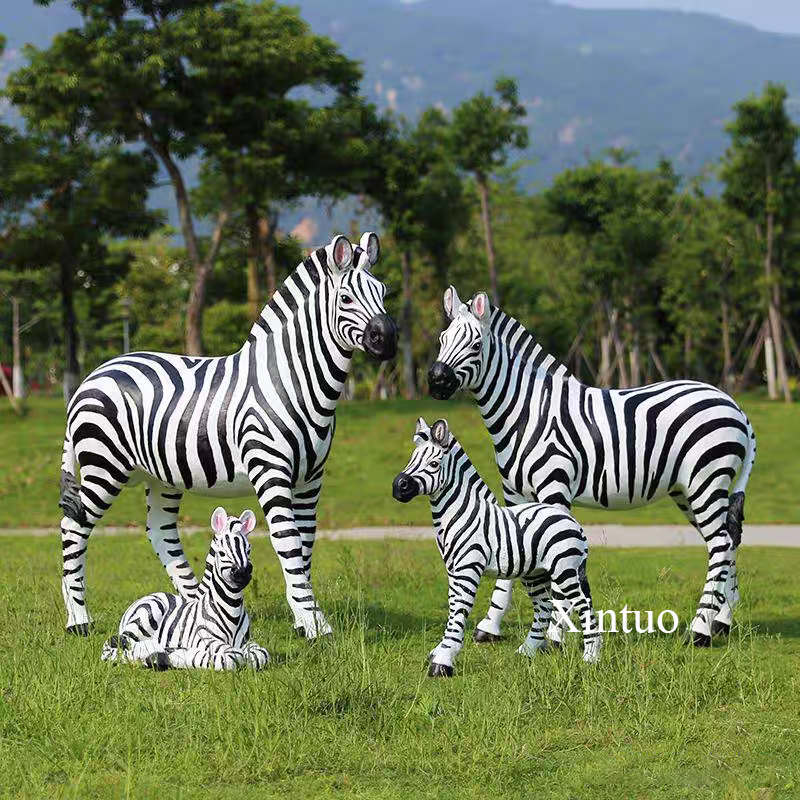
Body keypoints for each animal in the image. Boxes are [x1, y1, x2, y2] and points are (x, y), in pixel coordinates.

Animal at [60, 233, 397, 640]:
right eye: (345, 298)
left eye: (384, 292)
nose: (389, 340)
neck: (291, 381)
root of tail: (93, 375)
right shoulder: (270, 471)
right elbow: (288, 542)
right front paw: (317, 626)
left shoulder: (310, 479)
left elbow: (304, 545)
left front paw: (304, 619)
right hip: (103, 467)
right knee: (74, 527)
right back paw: (79, 620)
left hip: (161, 476)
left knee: (160, 532)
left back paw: (192, 605)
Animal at [102, 507, 270, 670]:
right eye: (221, 552)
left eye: (249, 550)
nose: (242, 573)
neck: (232, 607)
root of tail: (142, 599)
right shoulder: (207, 639)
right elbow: (231, 657)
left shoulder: (247, 642)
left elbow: (261, 655)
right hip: (145, 616)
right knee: (111, 648)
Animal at [392, 417, 601, 676]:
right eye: (412, 459)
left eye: (433, 464)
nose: (397, 486)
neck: (461, 512)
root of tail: (573, 522)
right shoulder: (452, 570)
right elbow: (452, 607)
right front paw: (440, 652)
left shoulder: (468, 568)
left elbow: (460, 609)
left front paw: (443, 661)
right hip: (535, 573)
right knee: (543, 606)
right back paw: (527, 651)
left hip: (565, 570)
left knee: (582, 605)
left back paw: (591, 658)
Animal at [427, 286, 756, 647]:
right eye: (442, 339)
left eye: (475, 345)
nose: (436, 379)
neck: (527, 412)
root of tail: (734, 405)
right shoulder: (515, 493)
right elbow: (509, 551)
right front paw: (490, 625)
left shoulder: (553, 488)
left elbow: (555, 554)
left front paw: (553, 635)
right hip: (689, 490)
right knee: (725, 540)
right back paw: (720, 621)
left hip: (705, 482)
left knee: (720, 544)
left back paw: (699, 631)